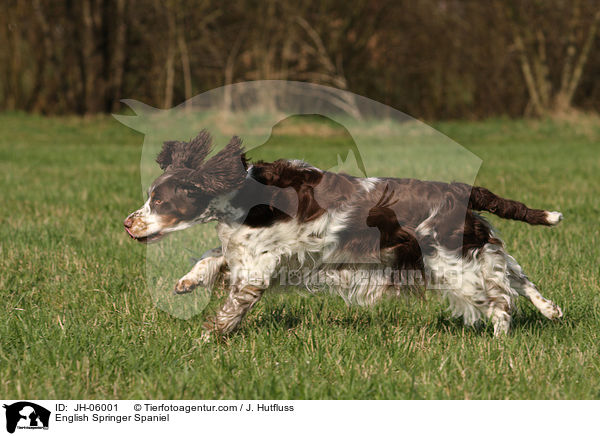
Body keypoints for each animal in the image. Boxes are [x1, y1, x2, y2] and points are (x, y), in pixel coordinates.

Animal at [124, 131, 564, 336]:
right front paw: (187, 282)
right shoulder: (254, 254)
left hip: (450, 260)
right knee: (515, 274)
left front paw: (204, 341)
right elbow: (213, 256)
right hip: (476, 246)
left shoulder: (258, 267)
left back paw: (500, 339)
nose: (128, 222)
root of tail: (461, 190)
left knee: (500, 299)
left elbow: (230, 308)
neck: (244, 194)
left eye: (159, 200)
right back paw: (550, 310)